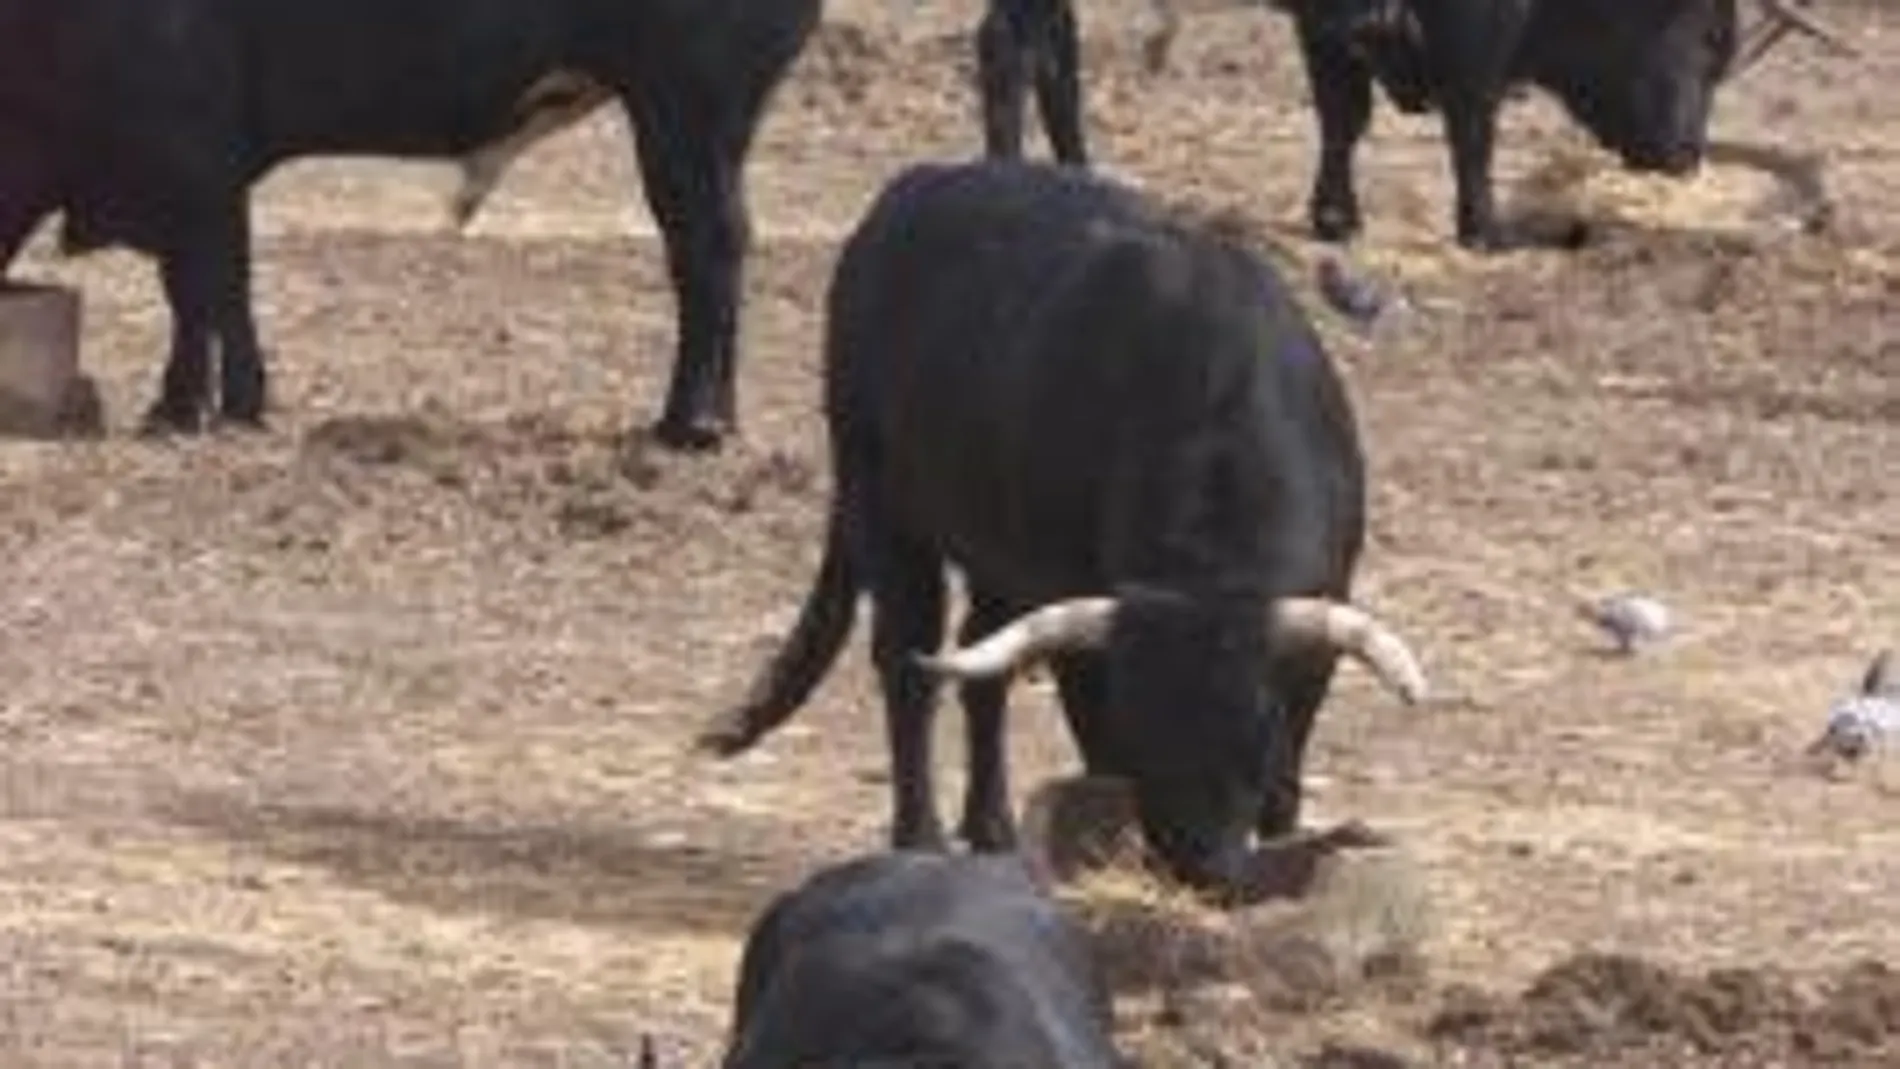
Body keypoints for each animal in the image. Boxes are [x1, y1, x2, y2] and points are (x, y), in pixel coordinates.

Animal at [0, 0, 820, 448]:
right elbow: (209, 296)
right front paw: (220, 403)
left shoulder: (195, 163)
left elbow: (204, 288)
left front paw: (188, 410)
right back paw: (720, 417)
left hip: (689, 113)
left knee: (707, 247)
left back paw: (689, 423)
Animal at [695, 158, 1428, 907]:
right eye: (1138, 724)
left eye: (1253, 724)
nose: (1199, 865)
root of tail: (909, 189)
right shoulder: (1078, 634)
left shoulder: (1312, 645)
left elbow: (1289, 770)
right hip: (884, 507)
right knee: (907, 662)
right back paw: (921, 834)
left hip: (992, 551)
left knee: (979, 665)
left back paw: (991, 826)